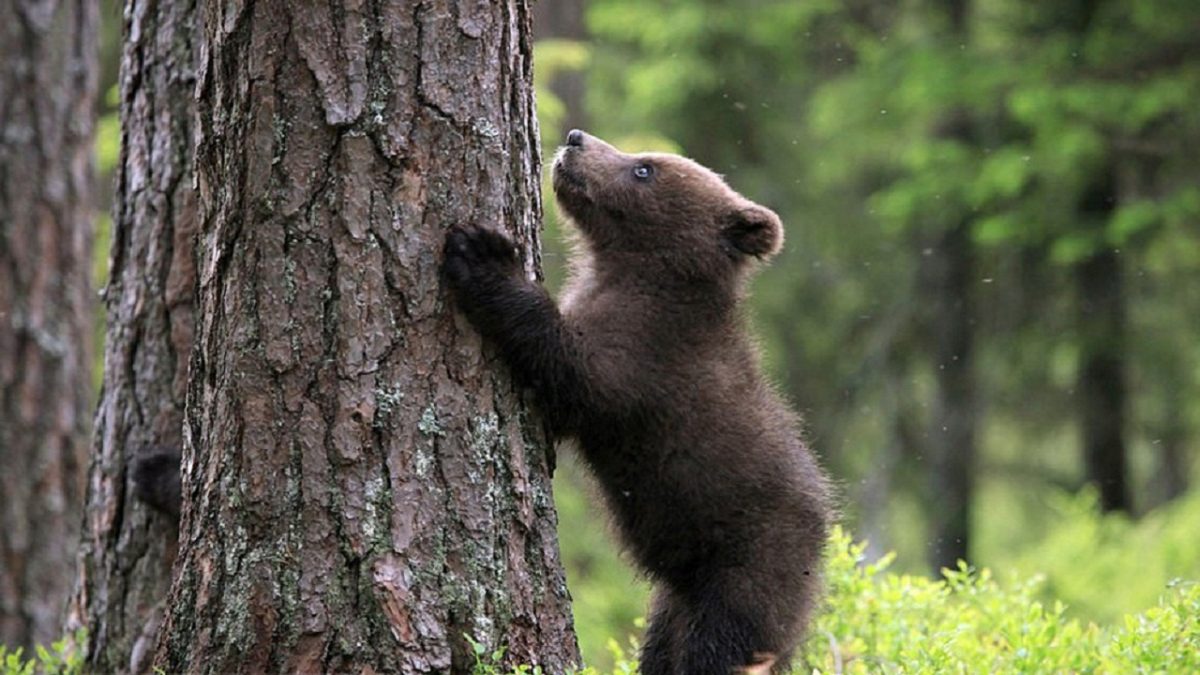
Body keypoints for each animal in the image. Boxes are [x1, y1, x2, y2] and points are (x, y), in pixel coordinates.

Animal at [443, 129, 832, 674]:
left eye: (644, 168)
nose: (575, 139)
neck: (634, 273)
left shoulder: (646, 356)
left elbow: (570, 370)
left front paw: (482, 254)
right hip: (674, 601)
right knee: (662, 647)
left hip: (745, 571)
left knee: (717, 650)